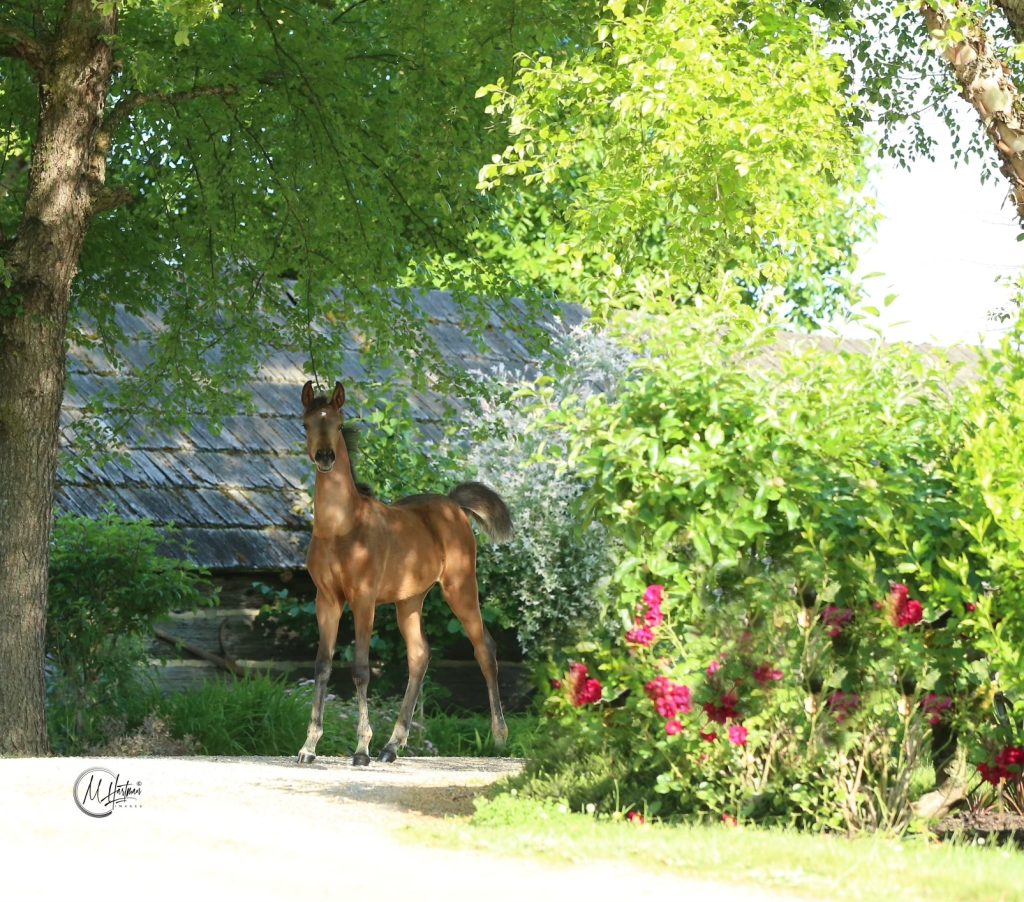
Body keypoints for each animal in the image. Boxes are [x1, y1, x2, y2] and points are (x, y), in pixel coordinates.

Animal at [295, 380, 513, 766]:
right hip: (409, 601)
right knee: (419, 654)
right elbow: (322, 665)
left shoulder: (363, 599)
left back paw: (499, 739)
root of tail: (454, 505)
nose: (325, 458)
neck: (340, 528)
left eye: (338, 424)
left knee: (484, 648)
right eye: (307, 425)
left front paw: (361, 749)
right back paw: (392, 746)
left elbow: (361, 669)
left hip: (460, 587)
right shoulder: (327, 600)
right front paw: (309, 746)